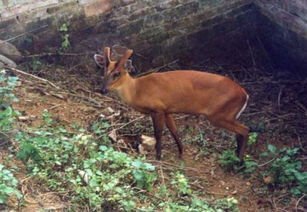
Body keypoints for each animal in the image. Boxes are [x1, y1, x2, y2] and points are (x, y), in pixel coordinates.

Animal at [94, 46, 250, 162]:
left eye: (117, 74)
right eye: (104, 71)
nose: (102, 90)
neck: (137, 90)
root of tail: (245, 95)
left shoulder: (157, 109)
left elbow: (158, 133)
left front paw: (158, 157)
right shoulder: (167, 110)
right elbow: (174, 131)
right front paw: (181, 152)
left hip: (219, 114)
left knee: (245, 129)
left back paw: (239, 162)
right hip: (226, 115)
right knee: (240, 132)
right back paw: (236, 157)